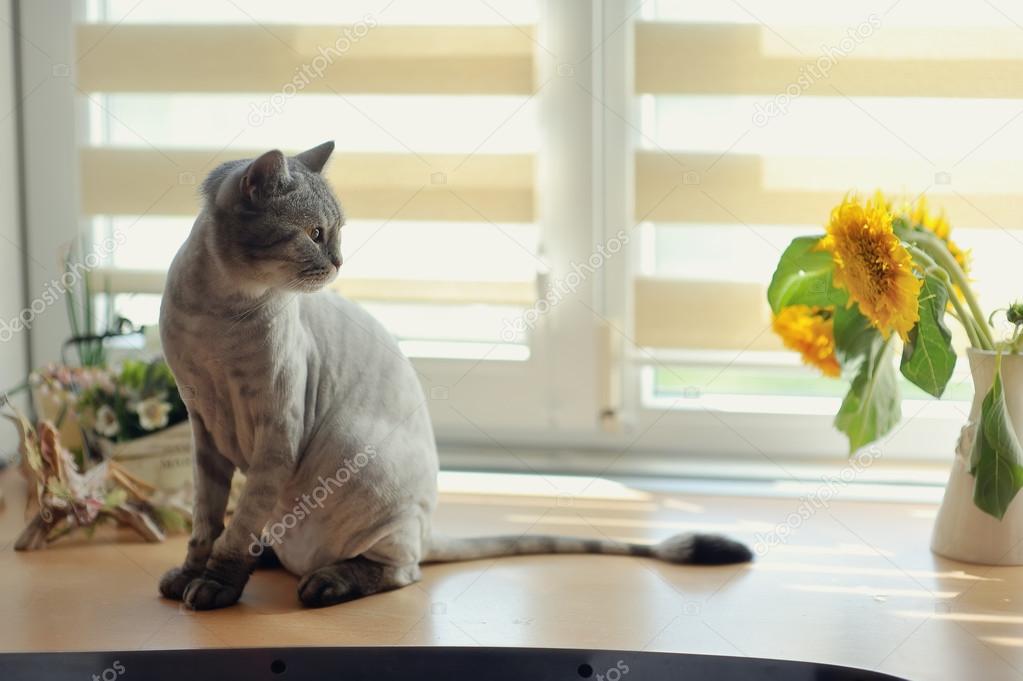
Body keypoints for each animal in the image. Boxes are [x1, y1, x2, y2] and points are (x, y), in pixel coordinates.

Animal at [157, 142, 752, 609]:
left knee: (400, 567)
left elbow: (237, 526)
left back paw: (324, 582)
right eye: (315, 233)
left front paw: (214, 588)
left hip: (358, 459)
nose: (340, 262)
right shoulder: (203, 424)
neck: (218, 311)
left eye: (335, 234)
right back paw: (270, 561)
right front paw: (188, 578)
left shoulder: (276, 431)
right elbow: (209, 522)